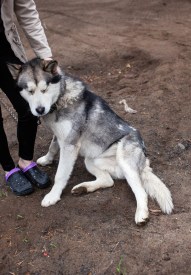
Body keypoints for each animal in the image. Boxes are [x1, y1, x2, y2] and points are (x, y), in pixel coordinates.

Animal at [16, 59, 173, 225]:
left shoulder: (69, 145)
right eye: (30, 91)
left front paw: (53, 196)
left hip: (125, 163)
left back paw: (141, 215)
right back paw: (83, 189)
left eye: (44, 89)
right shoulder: (60, 136)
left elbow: (60, 174)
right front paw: (47, 159)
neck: (62, 96)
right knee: (108, 181)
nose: (39, 110)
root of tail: (144, 162)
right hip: (91, 161)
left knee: (141, 192)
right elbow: (52, 146)